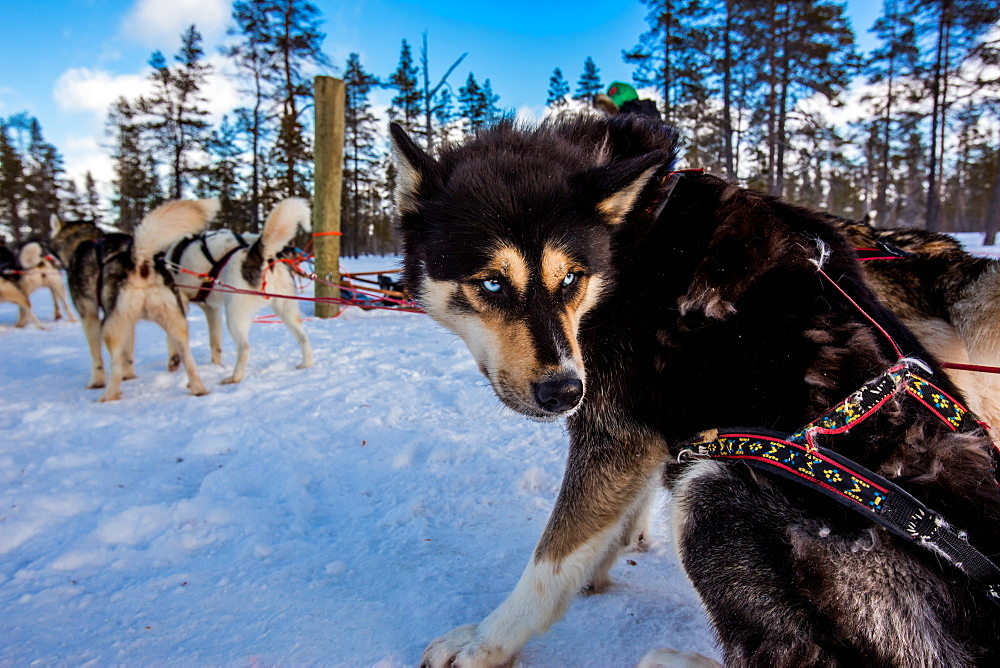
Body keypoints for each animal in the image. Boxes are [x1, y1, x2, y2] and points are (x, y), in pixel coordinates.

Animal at [50, 200, 217, 402]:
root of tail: (141, 262)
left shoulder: (89, 315)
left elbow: (97, 356)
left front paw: (96, 382)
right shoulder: (129, 323)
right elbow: (128, 352)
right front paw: (129, 375)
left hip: (110, 327)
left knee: (114, 364)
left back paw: (108, 396)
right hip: (175, 322)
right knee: (187, 358)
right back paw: (197, 387)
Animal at [166, 196, 312, 384]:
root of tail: (260, 254)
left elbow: (172, 337)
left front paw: (173, 361)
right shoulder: (211, 309)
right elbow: (215, 343)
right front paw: (216, 365)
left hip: (234, 314)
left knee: (245, 347)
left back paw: (234, 377)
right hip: (286, 310)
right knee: (303, 338)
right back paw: (306, 363)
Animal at [392, 117, 1000, 668]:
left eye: (570, 278)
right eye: (492, 283)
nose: (564, 391)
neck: (627, 238)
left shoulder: (616, 430)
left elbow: (552, 561)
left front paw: (485, 642)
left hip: (716, 478)